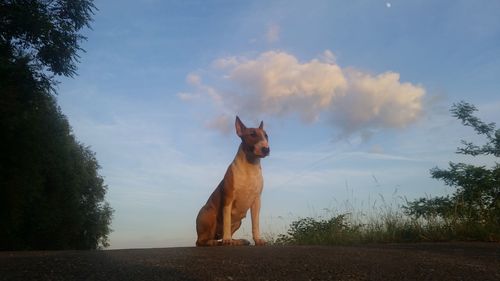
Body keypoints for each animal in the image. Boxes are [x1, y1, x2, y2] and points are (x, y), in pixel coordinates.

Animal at [196, 116, 270, 245]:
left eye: (266, 135)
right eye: (252, 134)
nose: (266, 149)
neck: (249, 167)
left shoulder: (256, 201)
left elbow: (255, 223)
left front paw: (258, 239)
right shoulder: (228, 199)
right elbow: (226, 220)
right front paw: (226, 240)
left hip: (238, 222)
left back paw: (238, 241)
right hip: (209, 213)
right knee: (201, 241)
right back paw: (217, 242)